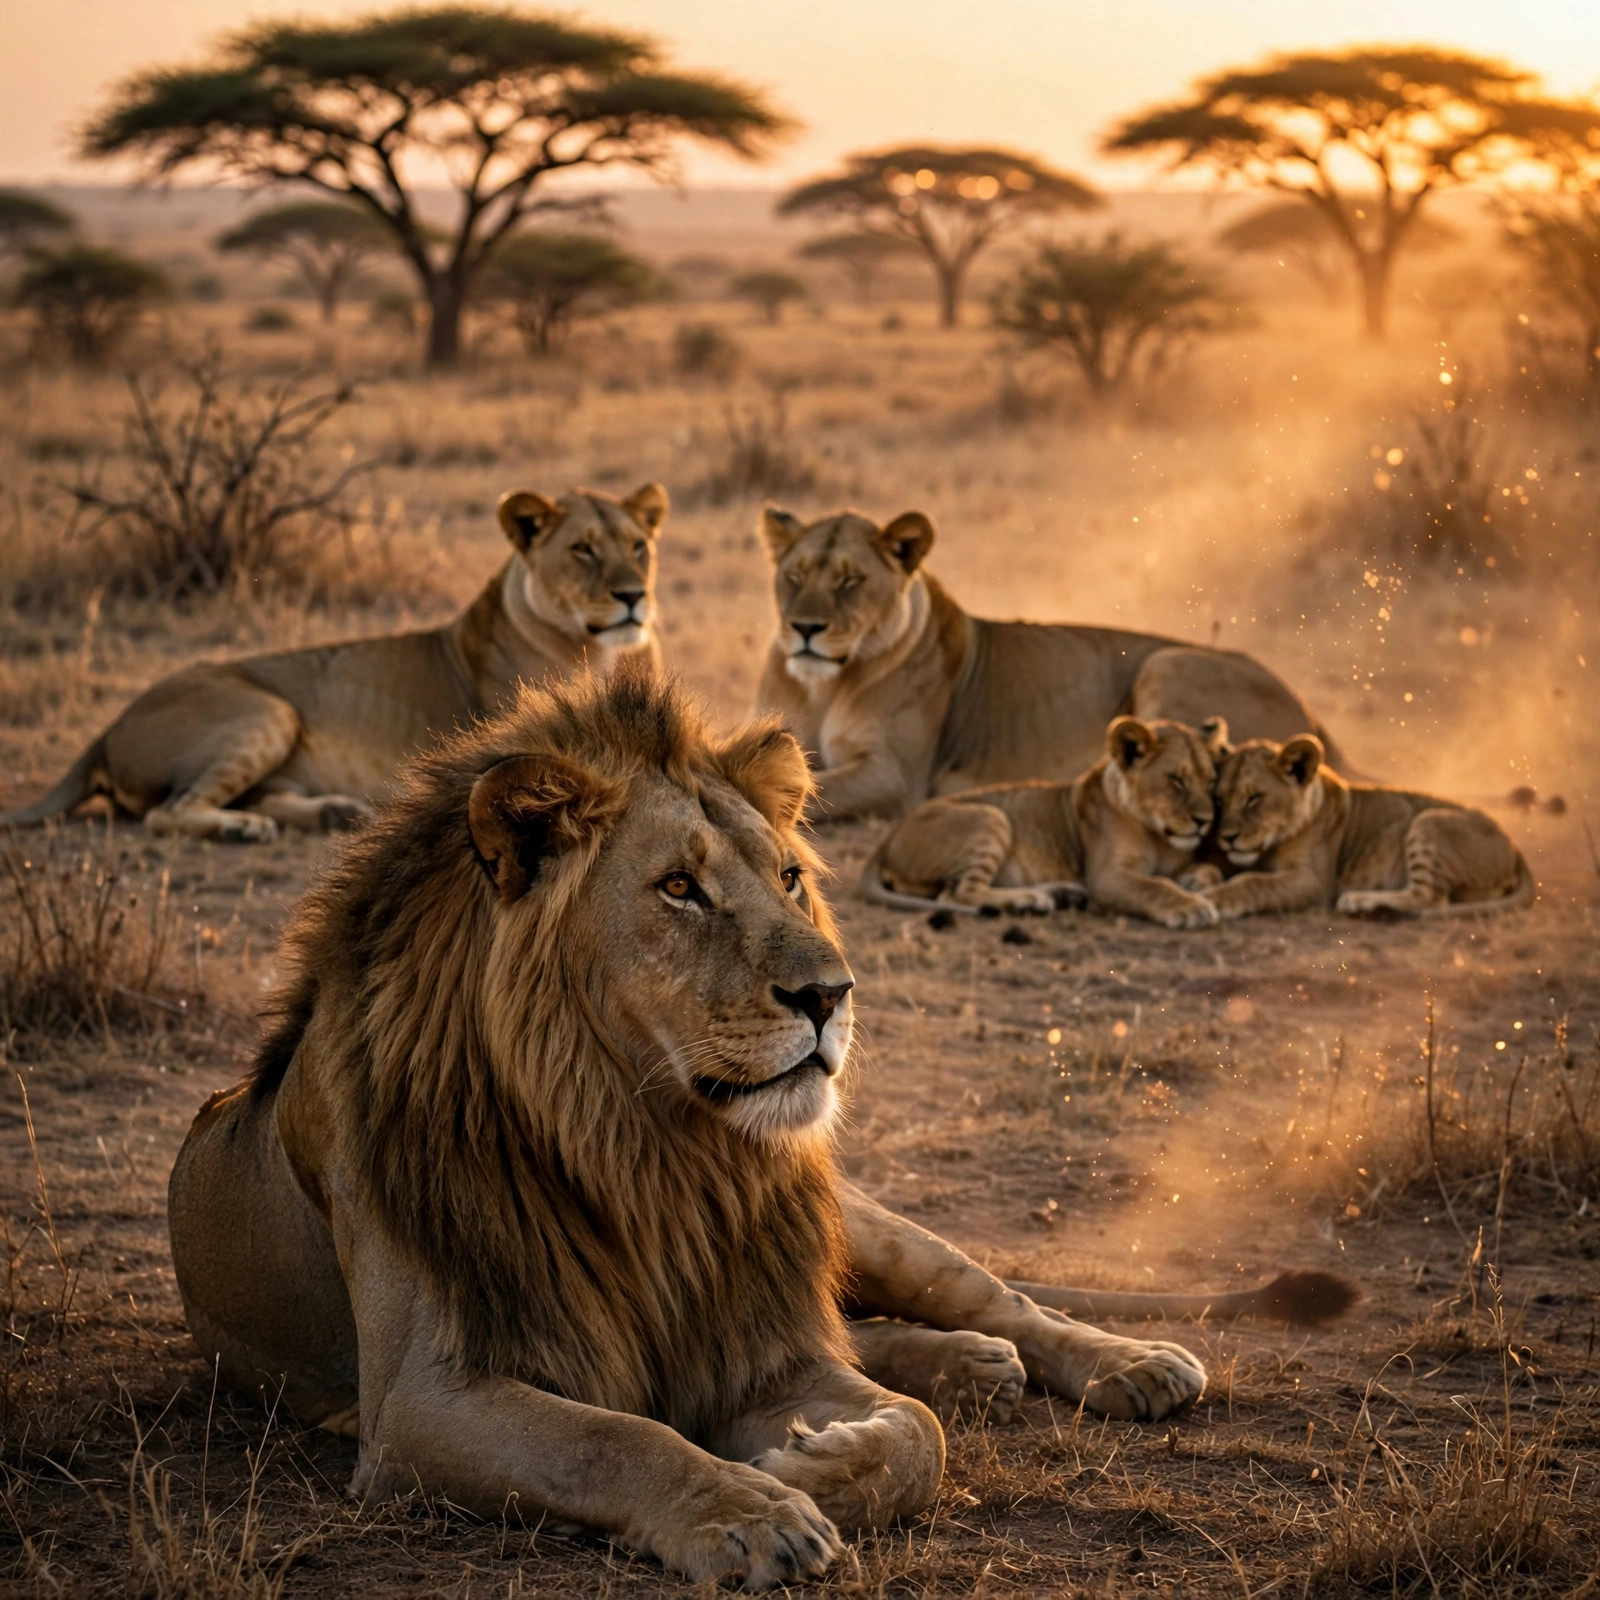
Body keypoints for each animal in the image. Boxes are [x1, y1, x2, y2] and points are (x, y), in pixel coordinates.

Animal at [0, 484, 666, 842]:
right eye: (582, 550)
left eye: (639, 546)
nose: (634, 596)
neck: (607, 653)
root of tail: (108, 728)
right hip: (267, 710)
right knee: (167, 812)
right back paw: (245, 829)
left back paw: (335, 812)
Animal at [755, 505, 1344, 820]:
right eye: (794, 576)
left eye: (851, 581)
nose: (805, 629)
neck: (824, 686)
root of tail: (1314, 714)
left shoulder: (895, 775)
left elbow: (817, 788)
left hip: (1168, 662)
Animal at [865, 715, 1228, 929]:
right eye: (1176, 780)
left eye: (1211, 781)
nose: (1205, 821)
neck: (1158, 836)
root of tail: (887, 838)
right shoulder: (1106, 877)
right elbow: (1154, 885)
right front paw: (1192, 907)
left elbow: (1208, 869)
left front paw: (1197, 881)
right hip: (992, 817)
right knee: (956, 894)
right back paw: (1030, 901)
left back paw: (1060, 895)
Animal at [1204, 732, 1535, 920]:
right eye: (1219, 799)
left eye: (1254, 798)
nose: (1226, 837)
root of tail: (1516, 848)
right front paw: (1204, 879)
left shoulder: (1315, 881)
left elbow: (1254, 882)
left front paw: (1214, 900)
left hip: (1429, 821)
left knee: (1432, 898)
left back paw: (1361, 902)